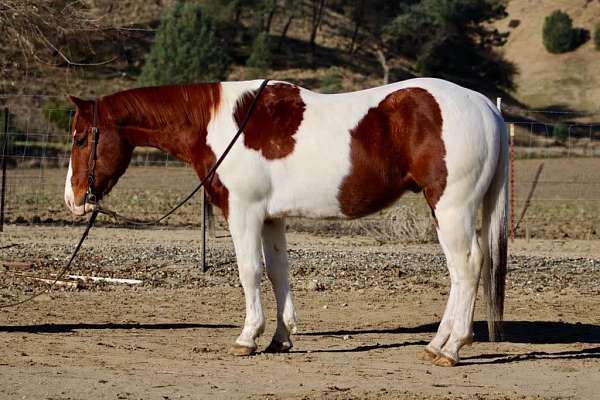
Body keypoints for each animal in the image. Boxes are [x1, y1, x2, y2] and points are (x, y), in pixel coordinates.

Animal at [64, 77, 506, 366]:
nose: (73, 200)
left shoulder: (243, 212)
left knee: (467, 267)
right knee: (461, 271)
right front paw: (281, 338)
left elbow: (249, 272)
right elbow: (278, 273)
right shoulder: (271, 217)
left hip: (451, 209)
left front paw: (247, 337)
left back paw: (452, 348)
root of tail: (486, 108)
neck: (221, 125)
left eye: (81, 138)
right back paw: (437, 344)